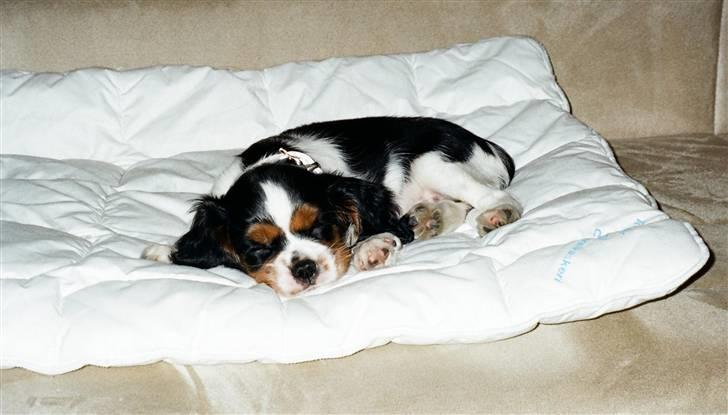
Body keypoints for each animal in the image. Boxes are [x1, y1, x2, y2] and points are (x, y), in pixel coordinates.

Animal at [142, 117, 520, 298]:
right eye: (258, 248)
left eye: (319, 228)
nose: (305, 269)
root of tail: (486, 143)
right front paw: (165, 251)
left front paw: (372, 246)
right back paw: (431, 217)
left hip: (433, 162)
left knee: (491, 196)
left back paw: (496, 214)